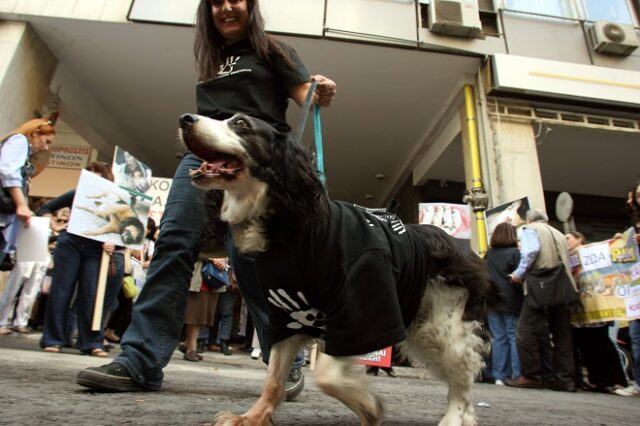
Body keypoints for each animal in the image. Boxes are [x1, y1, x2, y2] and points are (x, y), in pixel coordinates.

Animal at [179, 113, 490, 426]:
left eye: (241, 123)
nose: (185, 119)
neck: (289, 224)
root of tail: (454, 244)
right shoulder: (287, 315)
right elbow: (275, 379)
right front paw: (251, 418)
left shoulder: (358, 311)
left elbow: (326, 374)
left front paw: (368, 406)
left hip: (444, 326)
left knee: (463, 378)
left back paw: (454, 417)